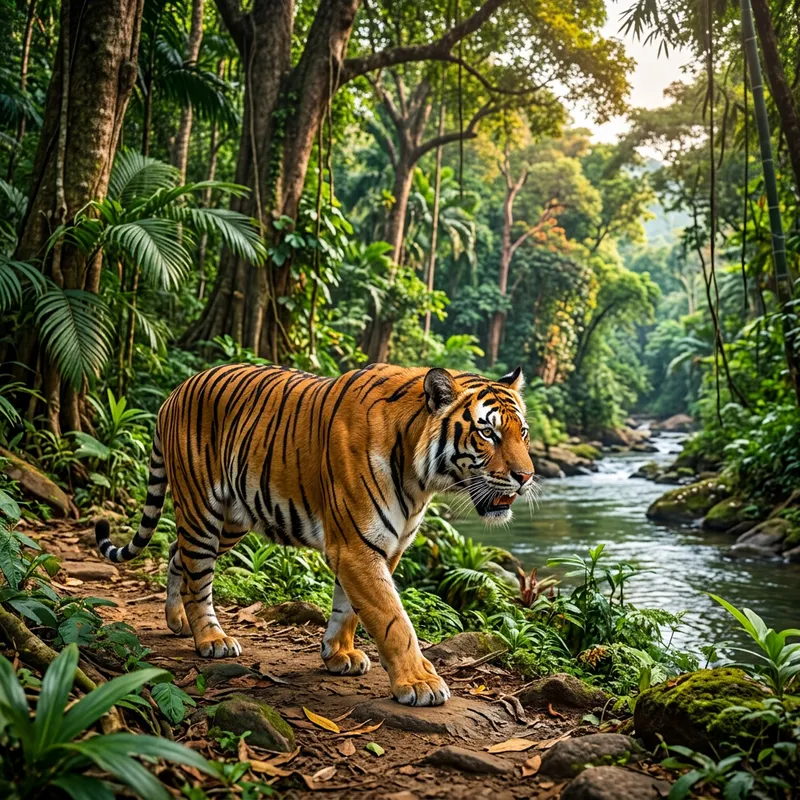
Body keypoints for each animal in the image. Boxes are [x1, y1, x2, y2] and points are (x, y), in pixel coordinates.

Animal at [95, 363, 535, 706]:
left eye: (524, 433)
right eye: (488, 434)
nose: (526, 476)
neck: (419, 478)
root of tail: (175, 392)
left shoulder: (380, 547)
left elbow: (350, 609)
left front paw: (339, 655)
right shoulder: (356, 545)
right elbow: (393, 619)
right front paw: (420, 682)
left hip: (232, 519)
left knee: (176, 553)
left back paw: (177, 621)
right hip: (202, 509)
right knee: (198, 576)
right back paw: (210, 637)